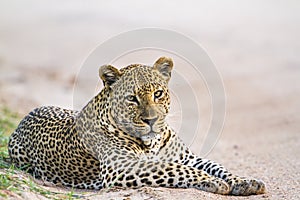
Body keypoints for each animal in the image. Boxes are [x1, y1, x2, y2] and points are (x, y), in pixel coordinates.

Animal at [7, 56, 264, 195]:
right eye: (132, 98)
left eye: (158, 93)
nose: (151, 120)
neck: (153, 142)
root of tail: (26, 115)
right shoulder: (122, 166)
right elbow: (173, 169)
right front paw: (213, 182)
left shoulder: (187, 157)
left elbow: (217, 166)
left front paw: (245, 182)